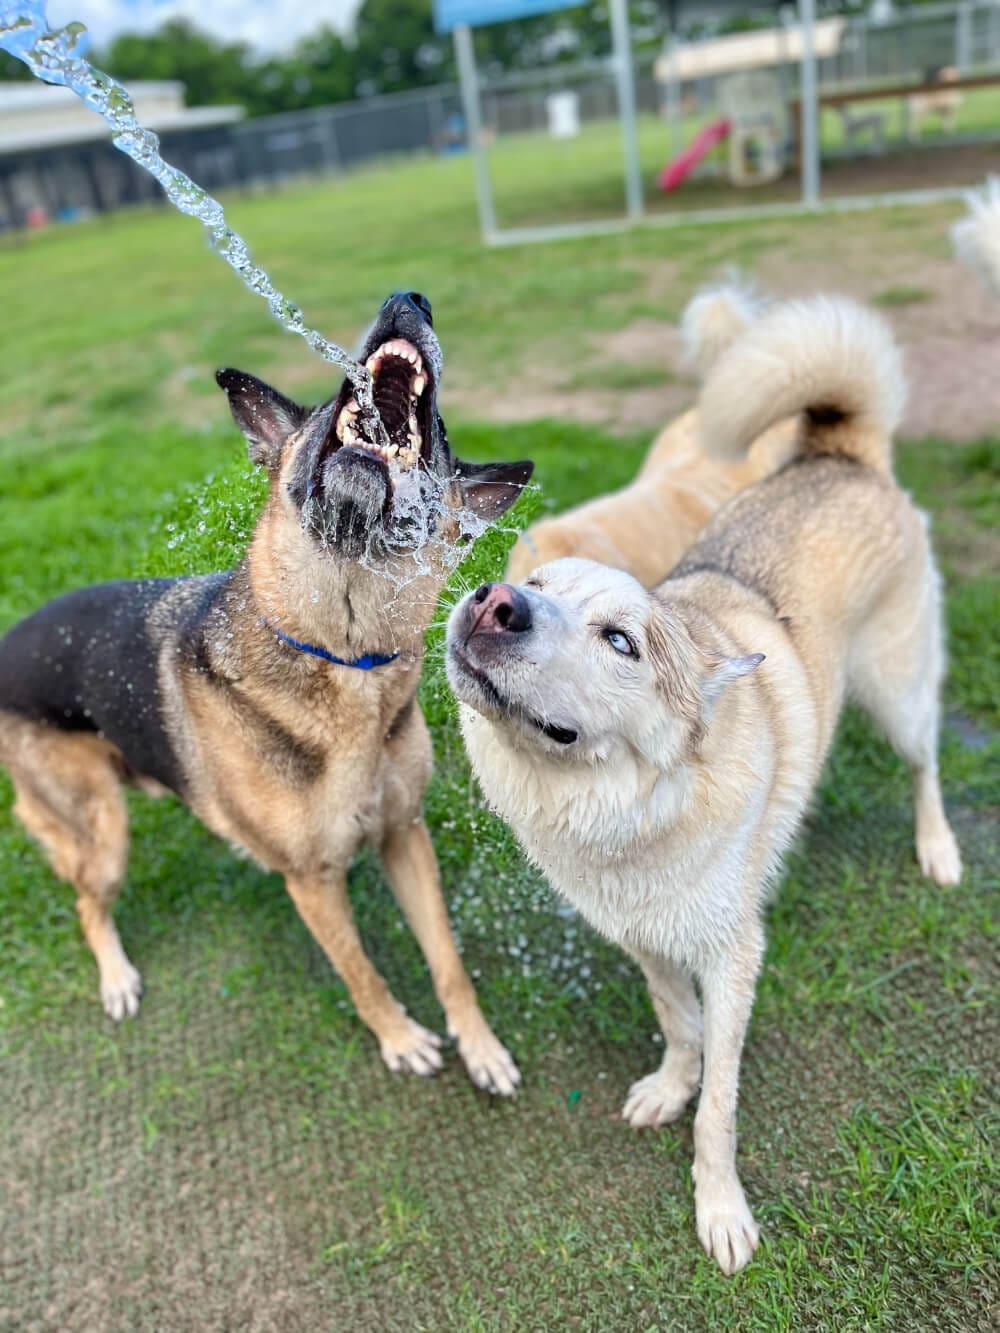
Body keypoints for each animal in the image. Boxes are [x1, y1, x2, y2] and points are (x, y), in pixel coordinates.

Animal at [445, 291, 965, 1269]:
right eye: (536, 580)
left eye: (622, 639)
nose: (494, 602)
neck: (628, 814)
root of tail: (838, 450)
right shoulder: (644, 940)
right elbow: (677, 1025)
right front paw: (667, 1086)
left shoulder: (734, 956)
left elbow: (719, 1107)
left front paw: (720, 1208)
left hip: (899, 697)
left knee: (925, 768)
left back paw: (939, 849)